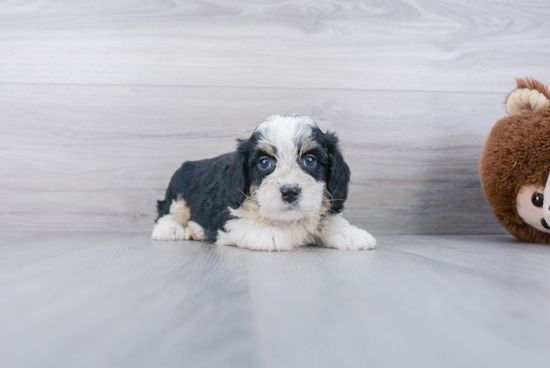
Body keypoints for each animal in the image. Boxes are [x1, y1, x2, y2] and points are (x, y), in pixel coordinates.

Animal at [155, 113, 380, 252]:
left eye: (309, 160)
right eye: (264, 163)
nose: (289, 191)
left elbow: (331, 221)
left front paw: (352, 234)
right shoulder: (228, 211)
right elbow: (245, 220)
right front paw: (269, 234)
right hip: (178, 188)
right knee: (170, 212)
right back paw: (170, 229)